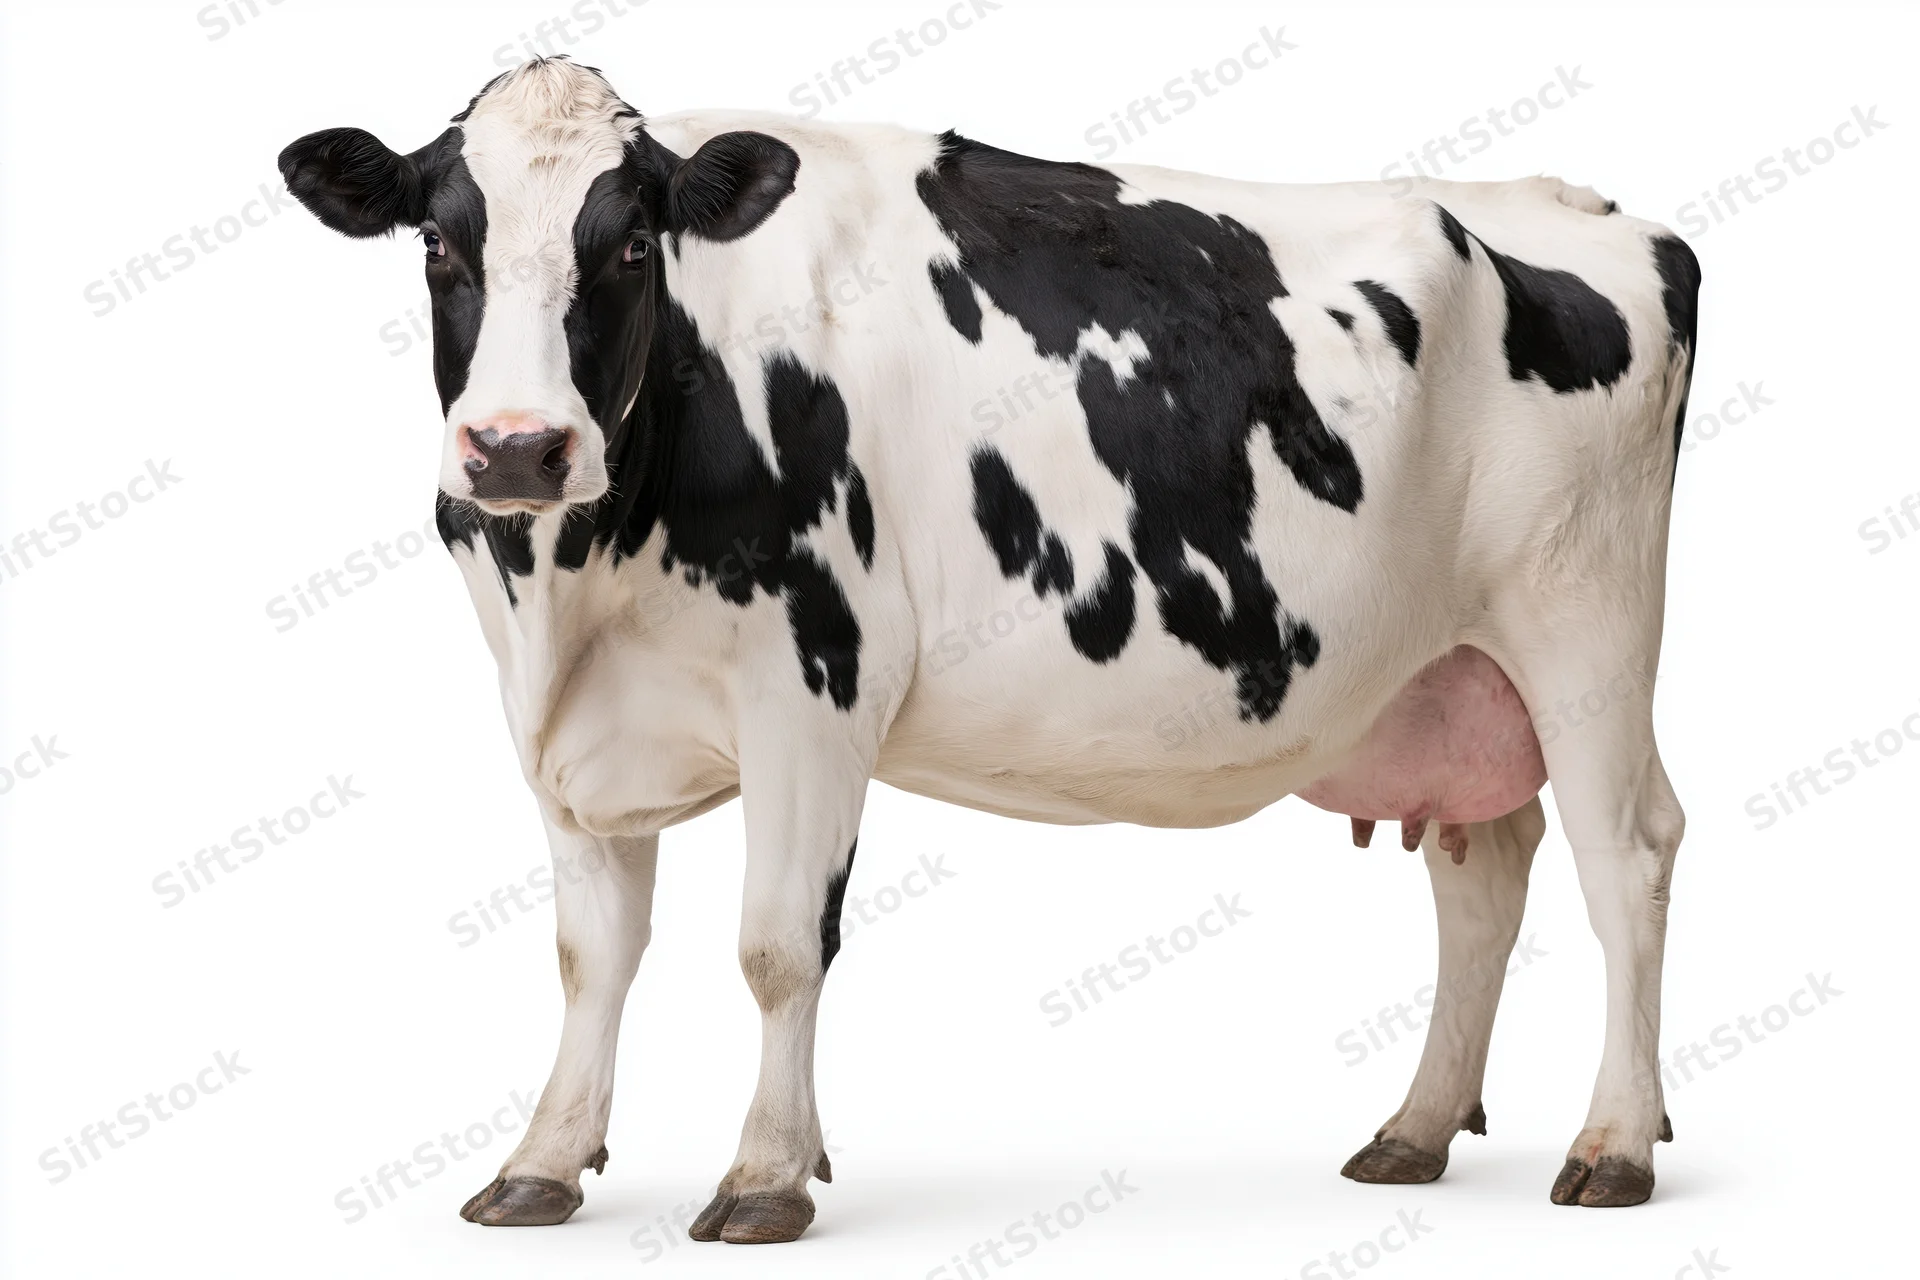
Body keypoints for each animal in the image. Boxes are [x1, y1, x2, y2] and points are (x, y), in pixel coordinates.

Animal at [278, 56, 1701, 1243]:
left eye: (631, 240)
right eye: (439, 243)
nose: (517, 448)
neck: (573, 585)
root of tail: (1592, 209)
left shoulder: (813, 685)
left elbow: (776, 945)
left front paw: (766, 1174)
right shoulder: (571, 728)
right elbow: (591, 955)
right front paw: (542, 1161)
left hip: (1584, 626)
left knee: (1626, 856)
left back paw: (1614, 1144)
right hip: (1452, 674)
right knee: (1484, 871)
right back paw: (1414, 1129)